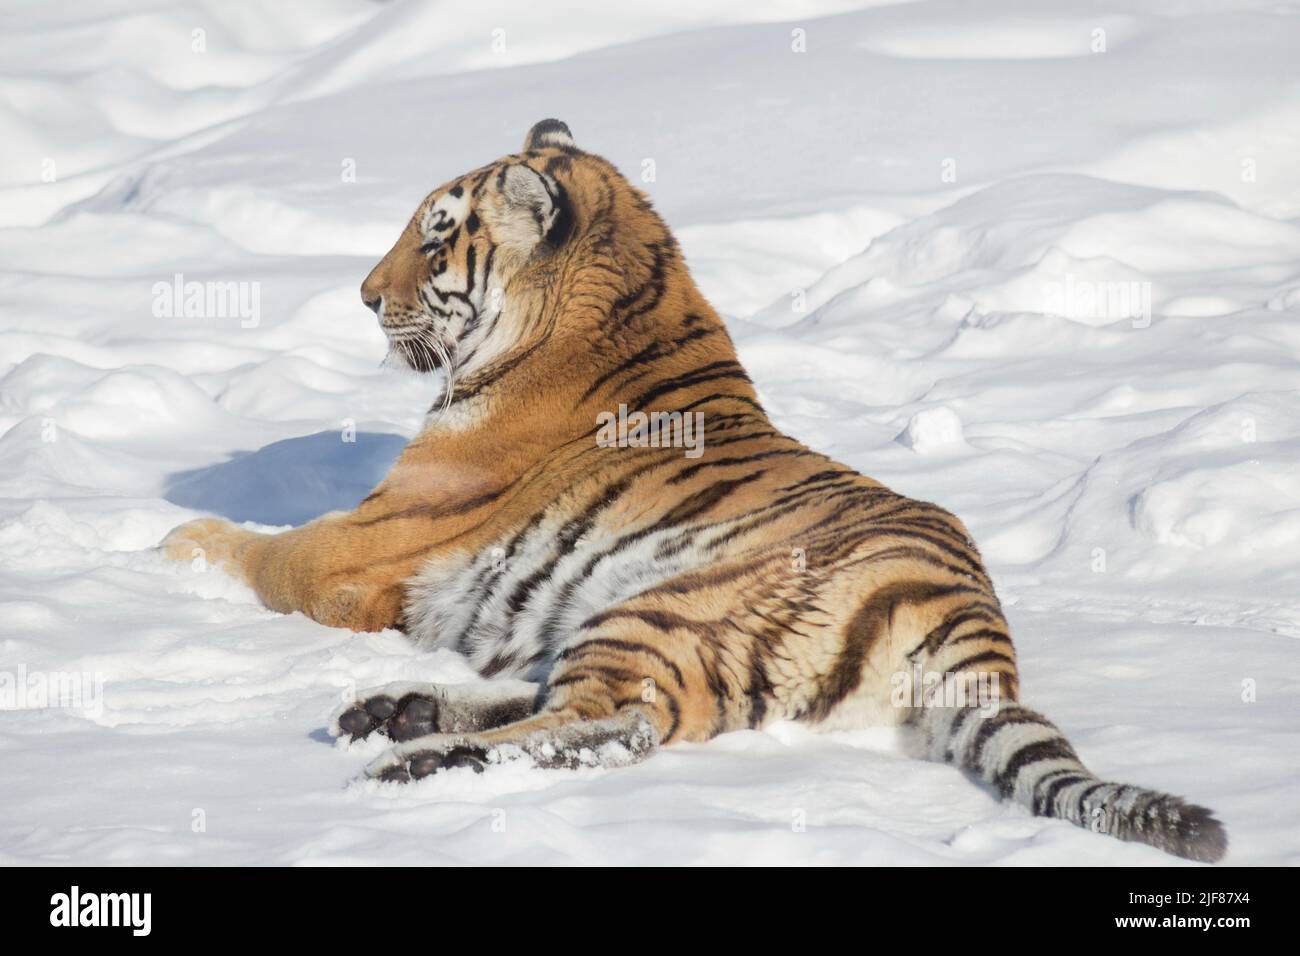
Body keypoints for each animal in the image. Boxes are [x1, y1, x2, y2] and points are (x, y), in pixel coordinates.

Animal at [161, 118, 1227, 863]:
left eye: (435, 242)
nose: (365, 299)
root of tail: (969, 618)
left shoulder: (358, 544)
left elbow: (262, 548)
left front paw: (170, 547)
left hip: (659, 608)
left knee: (612, 726)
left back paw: (413, 754)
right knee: (570, 704)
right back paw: (397, 712)